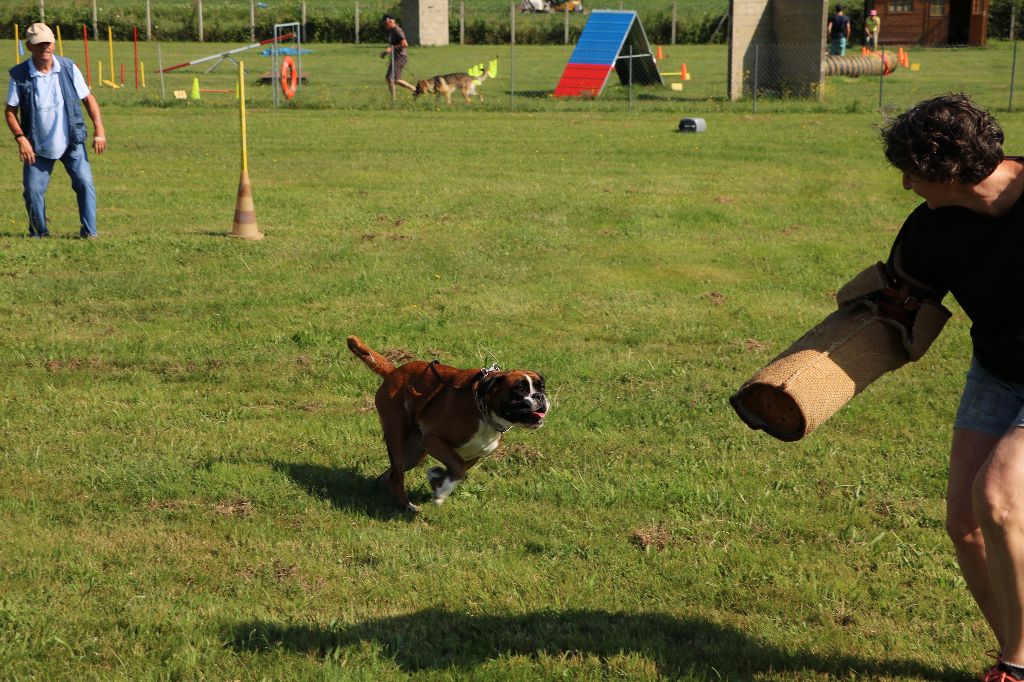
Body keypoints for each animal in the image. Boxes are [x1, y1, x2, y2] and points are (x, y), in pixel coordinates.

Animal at [348, 333, 548, 509]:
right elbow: (458, 469)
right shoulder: (433, 441)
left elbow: (458, 470)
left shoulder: (473, 454)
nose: (540, 397)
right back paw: (406, 505)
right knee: (397, 476)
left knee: (389, 476)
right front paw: (440, 491)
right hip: (398, 437)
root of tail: (393, 372)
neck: (483, 412)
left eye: (542, 387)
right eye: (520, 389)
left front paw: (437, 480)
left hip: (414, 453)